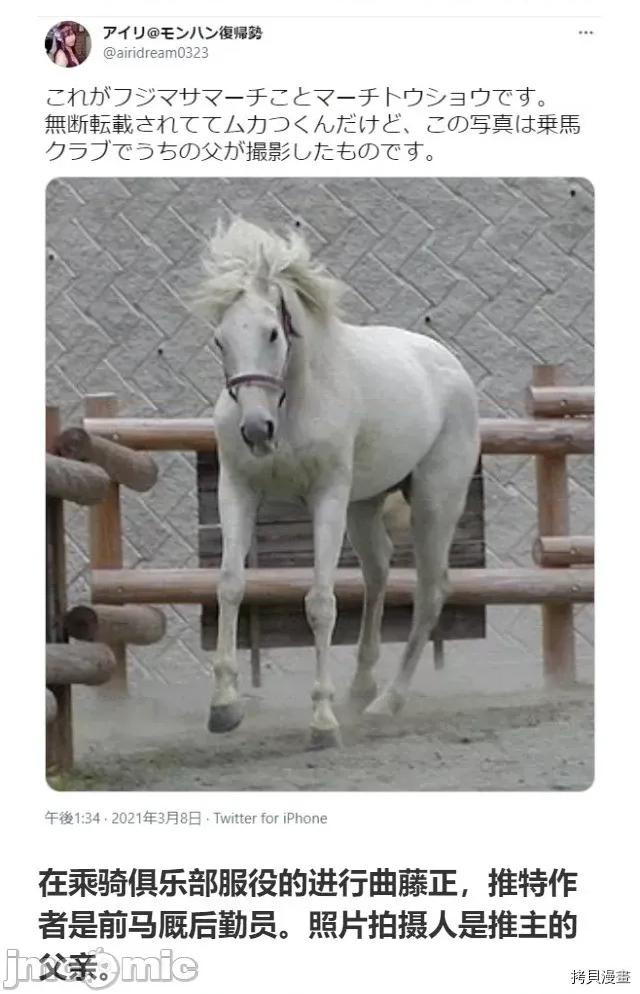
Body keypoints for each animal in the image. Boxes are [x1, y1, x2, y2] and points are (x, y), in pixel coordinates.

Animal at [199, 218, 480, 747]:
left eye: (272, 332)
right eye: (220, 340)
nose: (256, 430)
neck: (293, 402)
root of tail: (451, 366)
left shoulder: (326, 496)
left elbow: (321, 602)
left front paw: (322, 722)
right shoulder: (237, 489)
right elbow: (230, 585)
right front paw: (224, 706)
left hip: (435, 501)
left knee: (430, 591)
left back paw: (386, 702)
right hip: (363, 506)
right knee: (379, 573)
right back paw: (361, 687)